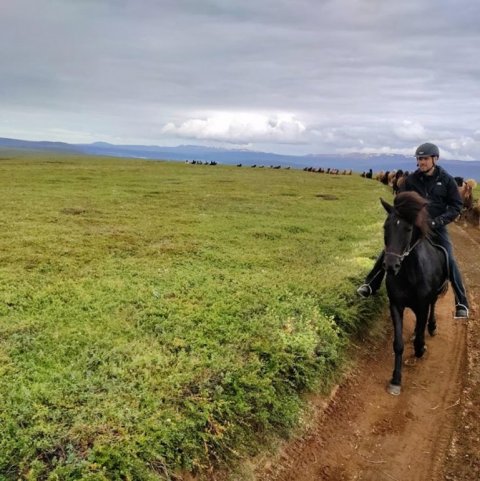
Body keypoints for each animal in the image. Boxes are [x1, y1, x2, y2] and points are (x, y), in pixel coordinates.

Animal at [378, 191, 450, 394]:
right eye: (385, 227)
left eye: (408, 229)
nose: (390, 266)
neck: (409, 273)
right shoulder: (396, 305)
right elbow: (398, 344)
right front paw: (396, 379)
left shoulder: (422, 306)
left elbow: (419, 337)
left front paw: (421, 348)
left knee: (432, 307)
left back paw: (432, 327)